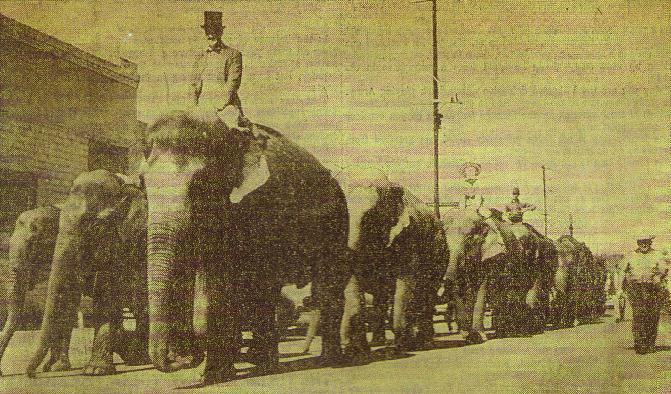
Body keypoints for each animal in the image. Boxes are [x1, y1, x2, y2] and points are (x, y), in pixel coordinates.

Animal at [24, 169, 151, 376]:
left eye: (95, 227)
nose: (33, 374)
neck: (121, 183)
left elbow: (136, 297)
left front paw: (96, 369)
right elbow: (106, 296)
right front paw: (94, 369)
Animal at [140, 111, 354, 384]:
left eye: (199, 184)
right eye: (142, 182)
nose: (180, 359)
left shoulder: (261, 206)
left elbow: (240, 284)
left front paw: (227, 372)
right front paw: (215, 372)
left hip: (337, 225)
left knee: (326, 284)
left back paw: (329, 360)